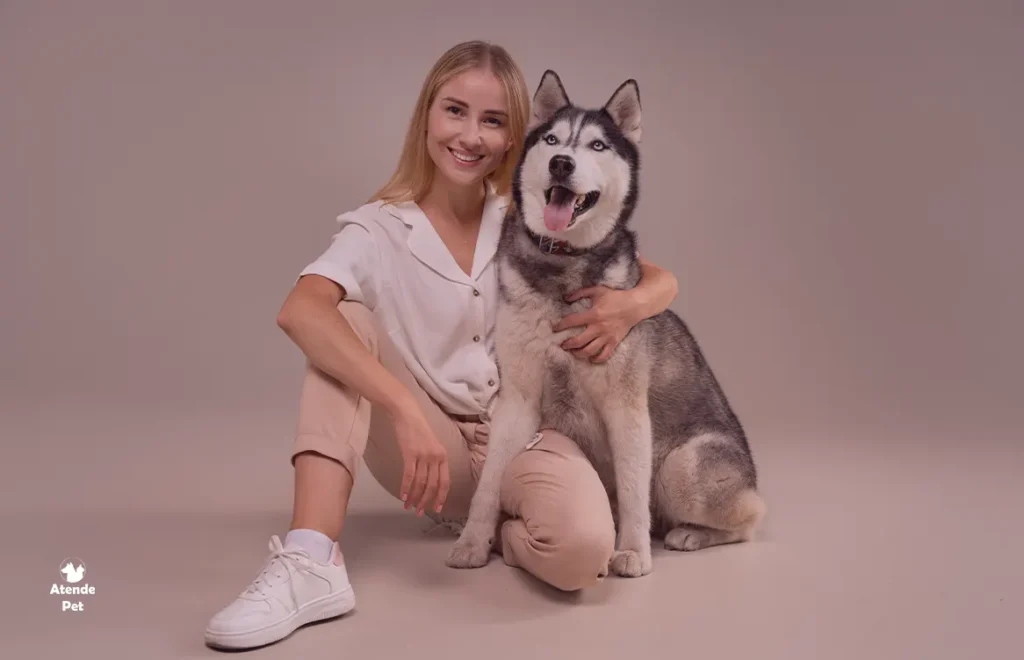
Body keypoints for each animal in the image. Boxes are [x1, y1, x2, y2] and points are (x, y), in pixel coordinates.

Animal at [444, 73, 765, 577]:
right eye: (552, 140)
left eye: (597, 144)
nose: (561, 163)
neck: (562, 266)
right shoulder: (517, 400)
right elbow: (490, 479)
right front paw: (475, 541)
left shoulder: (626, 407)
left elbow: (633, 489)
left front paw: (632, 550)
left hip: (681, 466)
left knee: (749, 518)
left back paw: (690, 533)